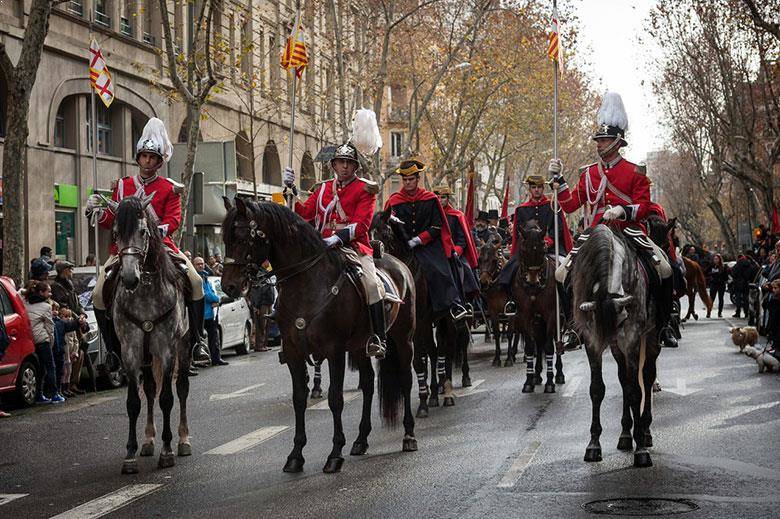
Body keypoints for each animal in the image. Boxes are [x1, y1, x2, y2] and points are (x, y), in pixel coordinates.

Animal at [109, 193, 191, 474]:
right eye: (115, 234)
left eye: (143, 231)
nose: (129, 278)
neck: (145, 290)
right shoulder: (130, 351)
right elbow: (134, 402)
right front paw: (130, 454)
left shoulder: (166, 349)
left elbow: (167, 398)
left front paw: (167, 451)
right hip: (145, 355)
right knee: (150, 389)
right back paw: (148, 440)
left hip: (183, 346)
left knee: (182, 388)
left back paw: (183, 439)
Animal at [222, 197, 418, 474]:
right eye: (225, 238)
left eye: (241, 238)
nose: (229, 286)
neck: (307, 283)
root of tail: (396, 262)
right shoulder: (294, 352)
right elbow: (299, 399)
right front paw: (295, 455)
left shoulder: (334, 350)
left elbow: (335, 399)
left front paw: (335, 454)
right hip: (360, 345)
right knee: (368, 383)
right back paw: (361, 440)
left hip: (403, 338)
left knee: (405, 378)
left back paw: (409, 435)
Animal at [372, 211, 470, 418]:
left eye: (385, 232)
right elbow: (420, 360)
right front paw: (425, 399)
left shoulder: (420, 322)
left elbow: (424, 357)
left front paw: (427, 398)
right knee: (435, 351)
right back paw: (436, 391)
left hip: (447, 319)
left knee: (448, 348)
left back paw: (448, 390)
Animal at [508, 223, 564, 394]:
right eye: (523, 250)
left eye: (543, 249)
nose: (533, 282)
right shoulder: (524, 315)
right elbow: (530, 347)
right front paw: (528, 381)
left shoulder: (551, 314)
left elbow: (549, 347)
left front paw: (550, 383)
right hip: (537, 322)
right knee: (539, 344)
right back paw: (537, 375)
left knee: (554, 343)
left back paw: (559, 374)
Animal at [572, 225, 660, 470]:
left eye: (622, 322)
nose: (612, 339)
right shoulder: (592, 340)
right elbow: (597, 389)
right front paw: (593, 444)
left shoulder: (631, 337)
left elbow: (636, 391)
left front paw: (641, 449)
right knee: (624, 380)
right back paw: (625, 434)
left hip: (649, 337)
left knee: (646, 377)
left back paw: (645, 431)